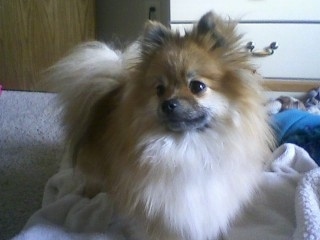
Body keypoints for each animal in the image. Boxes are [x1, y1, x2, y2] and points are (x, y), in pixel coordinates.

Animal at [46, 12, 274, 240]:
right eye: (160, 90)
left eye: (197, 86)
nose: (168, 104)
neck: (186, 147)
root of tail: (109, 91)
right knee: (91, 177)